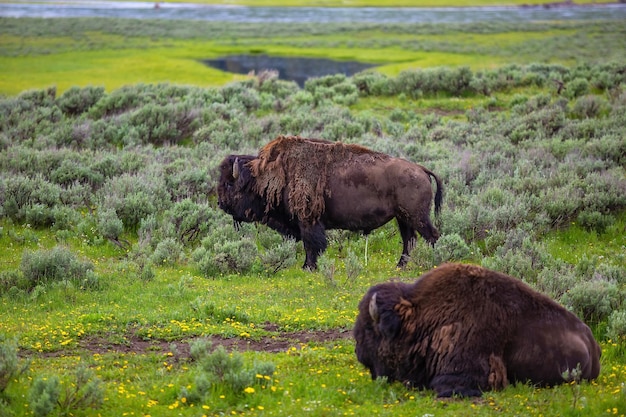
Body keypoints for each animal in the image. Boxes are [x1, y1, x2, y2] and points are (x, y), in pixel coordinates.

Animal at [217, 134, 442, 270]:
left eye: (229, 183)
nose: (220, 203)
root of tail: (421, 169)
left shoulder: (308, 221)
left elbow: (311, 245)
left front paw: (308, 267)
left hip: (416, 217)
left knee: (431, 236)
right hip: (403, 218)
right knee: (410, 240)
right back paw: (400, 266)